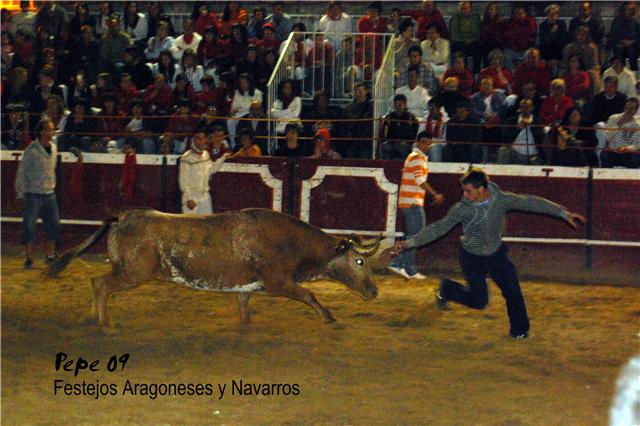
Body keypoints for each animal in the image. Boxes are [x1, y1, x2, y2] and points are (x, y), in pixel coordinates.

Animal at [50, 209, 382, 330]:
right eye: (360, 261)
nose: (374, 290)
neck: (292, 241)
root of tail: (121, 217)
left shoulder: (247, 286)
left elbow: (244, 303)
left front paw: (244, 324)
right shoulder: (279, 282)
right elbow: (310, 295)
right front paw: (330, 317)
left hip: (127, 272)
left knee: (97, 283)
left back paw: (92, 316)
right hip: (132, 273)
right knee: (101, 283)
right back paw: (105, 322)